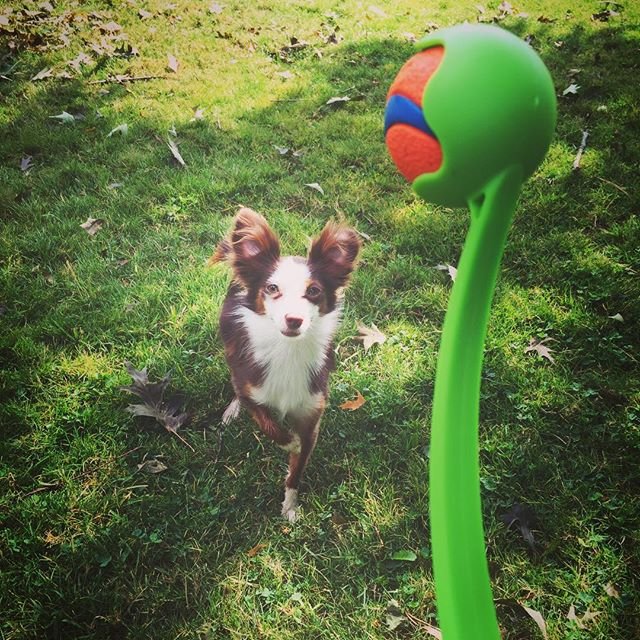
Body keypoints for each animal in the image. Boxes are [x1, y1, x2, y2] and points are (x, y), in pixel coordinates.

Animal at [210, 208, 360, 524]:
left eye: (314, 291)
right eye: (272, 288)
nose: (294, 320)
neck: (287, 350)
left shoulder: (311, 414)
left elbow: (297, 468)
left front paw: (290, 505)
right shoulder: (251, 387)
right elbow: (269, 425)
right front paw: (288, 441)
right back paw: (232, 410)